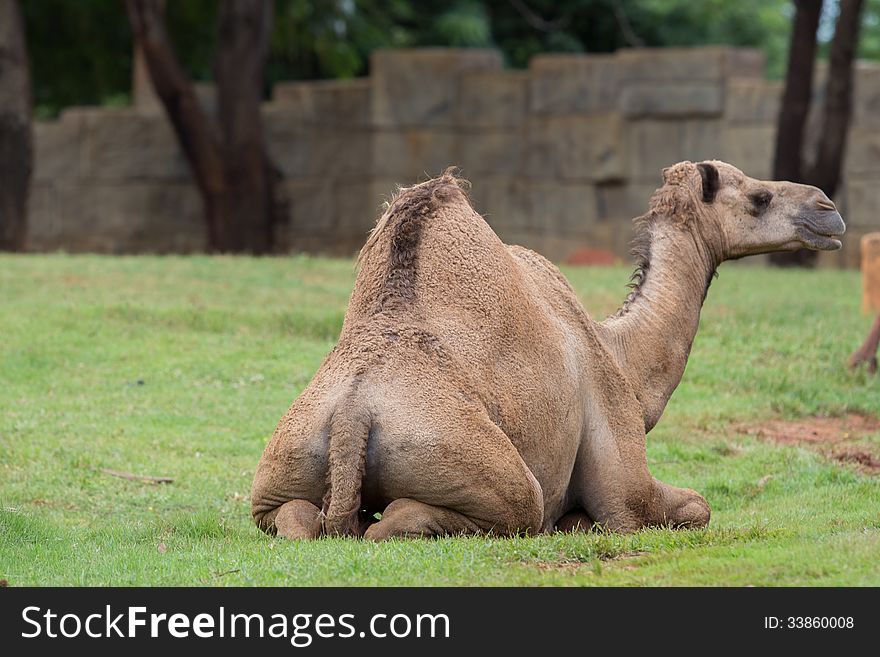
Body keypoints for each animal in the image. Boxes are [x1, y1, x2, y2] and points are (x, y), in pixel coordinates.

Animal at [251, 160, 844, 540]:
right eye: (758, 197)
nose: (828, 209)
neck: (618, 355)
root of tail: (353, 416)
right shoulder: (624, 474)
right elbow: (690, 507)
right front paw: (581, 520)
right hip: (481, 468)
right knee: (482, 515)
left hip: (278, 473)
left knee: (297, 520)